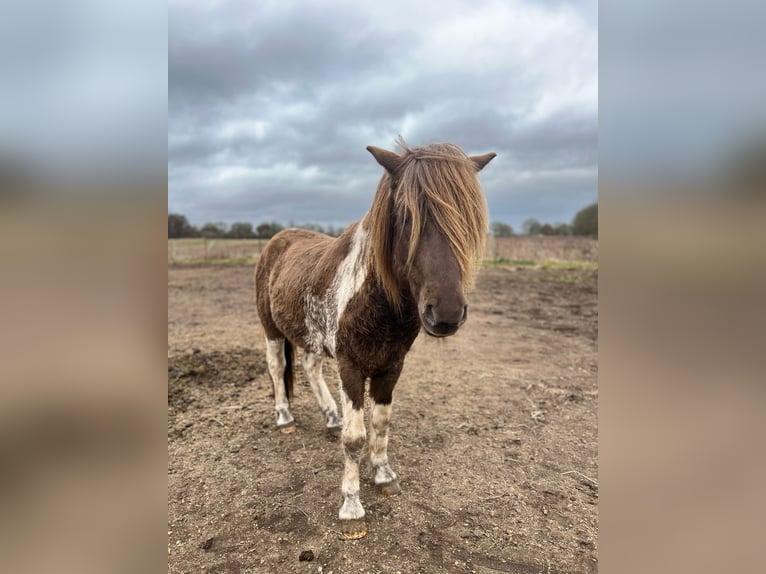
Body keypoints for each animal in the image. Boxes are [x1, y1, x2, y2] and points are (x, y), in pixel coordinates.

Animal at [254, 140, 495, 539]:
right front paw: (351, 505)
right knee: (277, 367)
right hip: (271, 328)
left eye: (467, 217)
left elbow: (381, 424)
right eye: (407, 216)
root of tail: (279, 239)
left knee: (309, 365)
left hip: (313, 335)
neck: (377, 301)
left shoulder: (390, 366)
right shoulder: (350, 366)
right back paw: (285, 417)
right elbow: (355, 438)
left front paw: (383, 475)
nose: (446, 313)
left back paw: (330, 415)